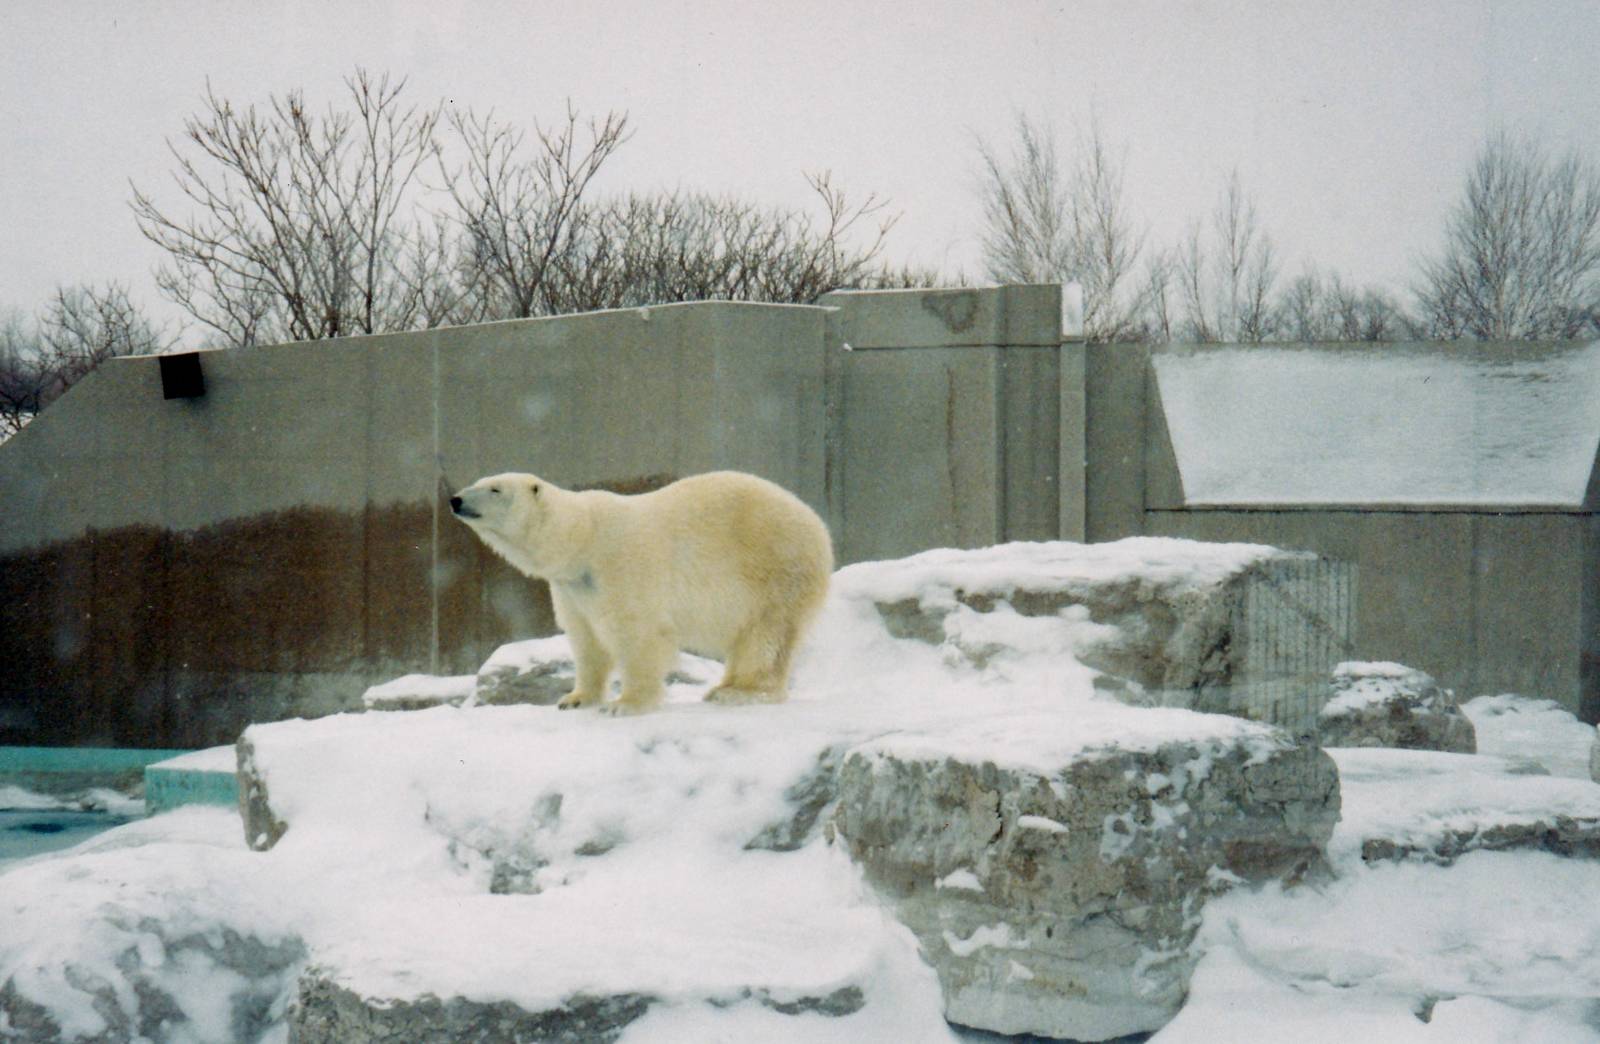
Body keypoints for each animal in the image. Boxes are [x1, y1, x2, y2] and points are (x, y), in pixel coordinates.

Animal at [449, 470, 833, 715]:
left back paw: (740, 692)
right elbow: (586, 640)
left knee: (766, 635)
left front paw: (625, 704)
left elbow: (636, 633)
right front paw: (574, 699)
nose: (455, 499)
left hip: (776, 570)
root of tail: (817, 524)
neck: (582, 537)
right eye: (479, 482)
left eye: (495, 489)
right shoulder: (572, 588)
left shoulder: (620, 563)